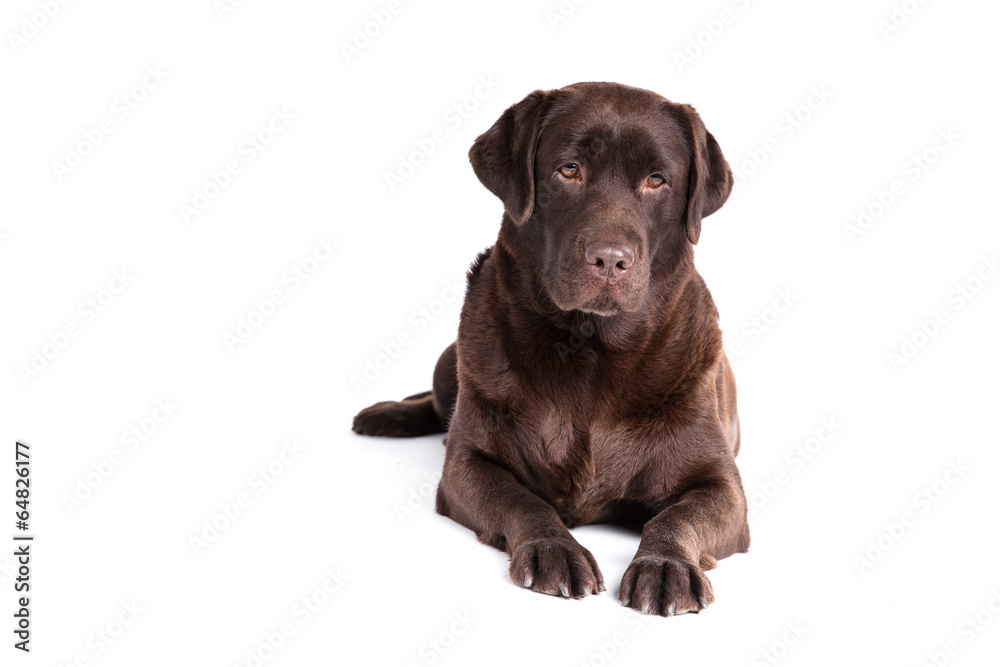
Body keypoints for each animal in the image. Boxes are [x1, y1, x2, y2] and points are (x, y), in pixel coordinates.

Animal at [356, 82, 748, 616]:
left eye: (656, 180)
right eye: (569, 169)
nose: (610, 260)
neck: (592, 348)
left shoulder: (721, 485)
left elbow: (676, 517)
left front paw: (666, 565)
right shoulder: (467, 466)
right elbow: (523, 499)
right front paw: (554, 549)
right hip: (450, 362)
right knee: (437, 403)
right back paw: (387, 414)